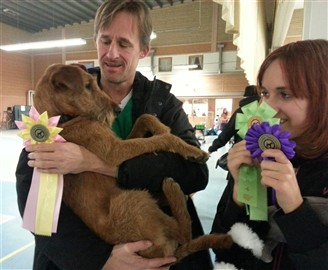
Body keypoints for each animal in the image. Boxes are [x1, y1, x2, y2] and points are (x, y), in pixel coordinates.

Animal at [34, 63, 233, 262]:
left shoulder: (121, 140)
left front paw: (162, 127)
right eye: (87, 86)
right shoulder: (115, 150)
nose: (117, 110)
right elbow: (159, 140)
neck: (60, 119)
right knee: (184, 234)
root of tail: (163, 253)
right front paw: (191, 150)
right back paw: (172, 190)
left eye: (93, 83)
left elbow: (144, 118)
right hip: (132, 201)